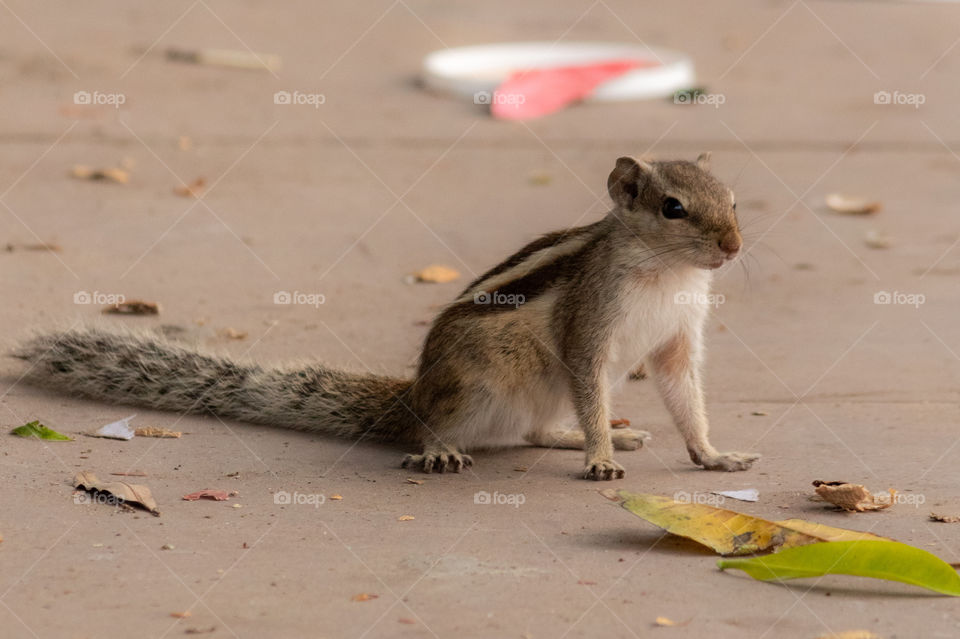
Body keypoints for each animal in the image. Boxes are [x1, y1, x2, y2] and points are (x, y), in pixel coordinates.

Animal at [12, 153, 759, 480]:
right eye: (672, 208)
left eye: (733, 200)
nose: (733, 246)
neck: (668, 274)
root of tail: (412, 396)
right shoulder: (589, 332)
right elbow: (592, 381)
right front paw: (601, 455)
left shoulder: (676, 342)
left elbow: (685, 396)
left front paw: (712, 453)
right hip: (475, 382)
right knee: (444, 427)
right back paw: (439, 449)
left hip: (532, 395)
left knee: (534, 432)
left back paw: (573, 437)